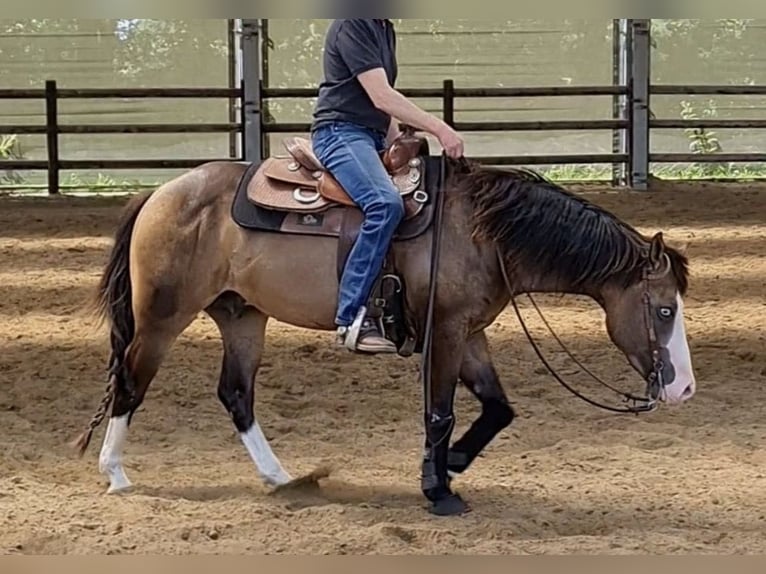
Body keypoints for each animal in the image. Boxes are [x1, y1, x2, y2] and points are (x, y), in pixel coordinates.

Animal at [71, 133, 696, 517]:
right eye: (664, 309)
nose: (685, 388)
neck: (483, 232)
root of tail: (162, 191)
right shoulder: (445, 333)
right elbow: (441, 411)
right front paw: (438, 489)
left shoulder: (469, 332)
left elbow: (498, 408)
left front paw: (454, 463)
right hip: (162, 317)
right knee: (131, 383)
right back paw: (116, 474)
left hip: (241, 314)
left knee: (236, 394)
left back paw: (282, 478)